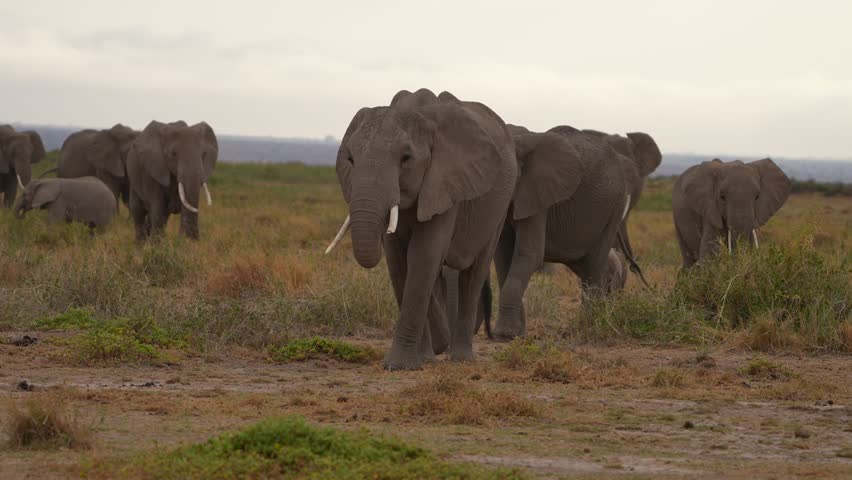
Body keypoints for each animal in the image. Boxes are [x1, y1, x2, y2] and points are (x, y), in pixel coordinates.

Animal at [325, 88, 517, 370]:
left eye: (406, 158)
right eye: (350, 159)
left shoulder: (444, 182)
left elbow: (423, 256)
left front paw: (399, 365)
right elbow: (399, 261)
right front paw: (417, 360)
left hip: (500, 204)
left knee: (474, 273)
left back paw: (460, 358)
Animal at [490, 127, 630, 339]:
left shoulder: (538, 198)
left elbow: (529, 255)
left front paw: (505, 335)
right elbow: (502, 258)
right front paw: (515, 334)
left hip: (615, 206)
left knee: (595, 265)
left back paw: (590, 326)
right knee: (587, 266)